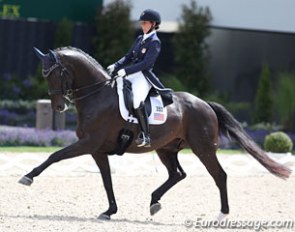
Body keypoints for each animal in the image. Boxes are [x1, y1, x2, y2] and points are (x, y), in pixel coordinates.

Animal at [19, 46, 294, 220]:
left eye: (56, 74)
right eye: (44, 75)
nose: (59, 106)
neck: (98, 95)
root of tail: (205, 104)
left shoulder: (88, 143)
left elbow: (55, 156)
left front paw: (28, 177)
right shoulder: (97, 150)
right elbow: (106, 180)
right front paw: (109, 211)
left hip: (203, 148)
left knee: (220, 175)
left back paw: (222, 215)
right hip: (166, 149)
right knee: (178, 174)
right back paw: (154, 202)